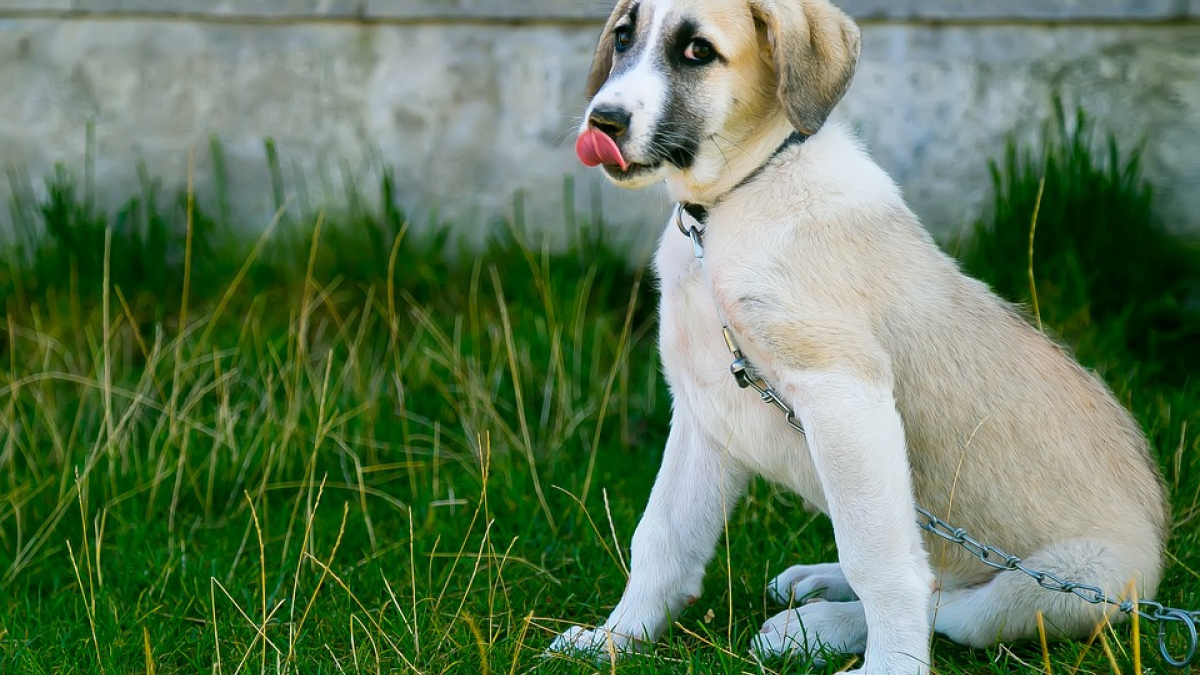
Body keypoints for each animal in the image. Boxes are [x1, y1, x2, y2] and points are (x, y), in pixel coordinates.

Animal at [549, 0, 1166, 667]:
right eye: (623, 38)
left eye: (698, 52)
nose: (602, 121)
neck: (732, 206)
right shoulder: (705, 408)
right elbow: (662, 537)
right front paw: (616, 640)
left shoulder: (843, 393)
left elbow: (880, 562)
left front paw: (891, 667)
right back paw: (818, 585)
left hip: (1071, 585)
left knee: (951, 603)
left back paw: (814, 628)